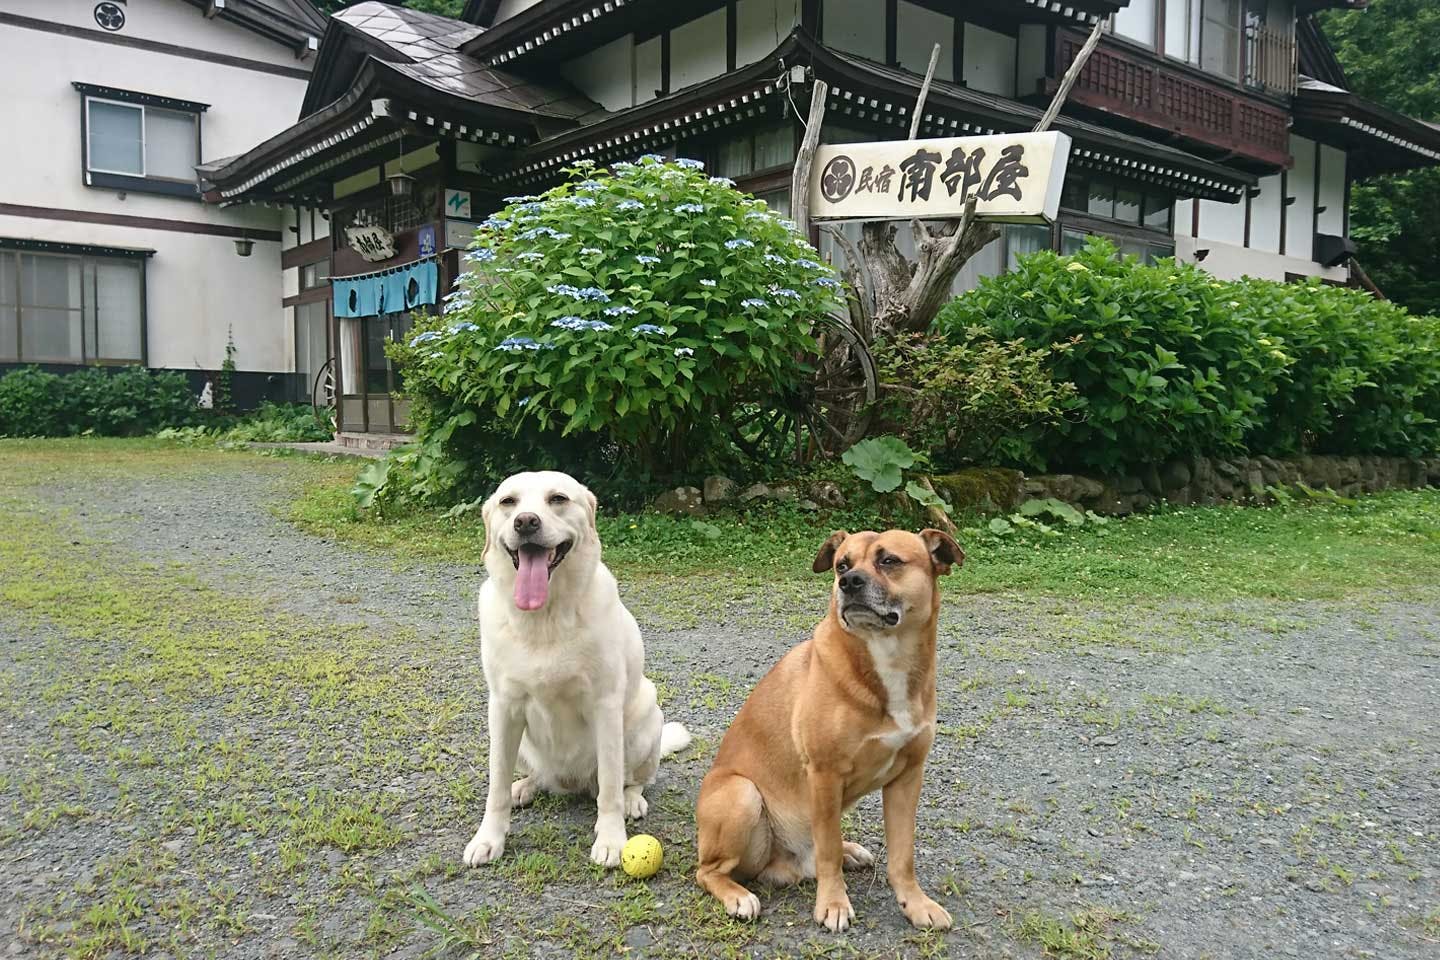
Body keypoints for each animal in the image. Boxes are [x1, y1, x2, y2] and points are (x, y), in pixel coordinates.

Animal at [460, 469, 685, 869]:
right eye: (508, 502)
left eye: (558, 499)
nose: (526, 522)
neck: (545, 617)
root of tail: (571, 783)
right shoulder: (503, 707)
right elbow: (496, 786)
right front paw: (489, 839)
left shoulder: (605, 705)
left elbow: (610, 788)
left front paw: (611, 840)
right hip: (518, 740)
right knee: (538, 776)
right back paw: (526, 786)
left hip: (645, 722)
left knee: (632, 780)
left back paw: (632, 800)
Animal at [691, 529, 961, 932]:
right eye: (841, 565)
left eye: (889, 561)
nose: (849, 583)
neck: (886, 661)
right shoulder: (824, 773)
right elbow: (829, 852)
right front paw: (833, 904)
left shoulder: (908, 778)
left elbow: (902, 855)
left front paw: (915, 903)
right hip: (743, 795)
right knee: (709, 871)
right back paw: (738, 896)